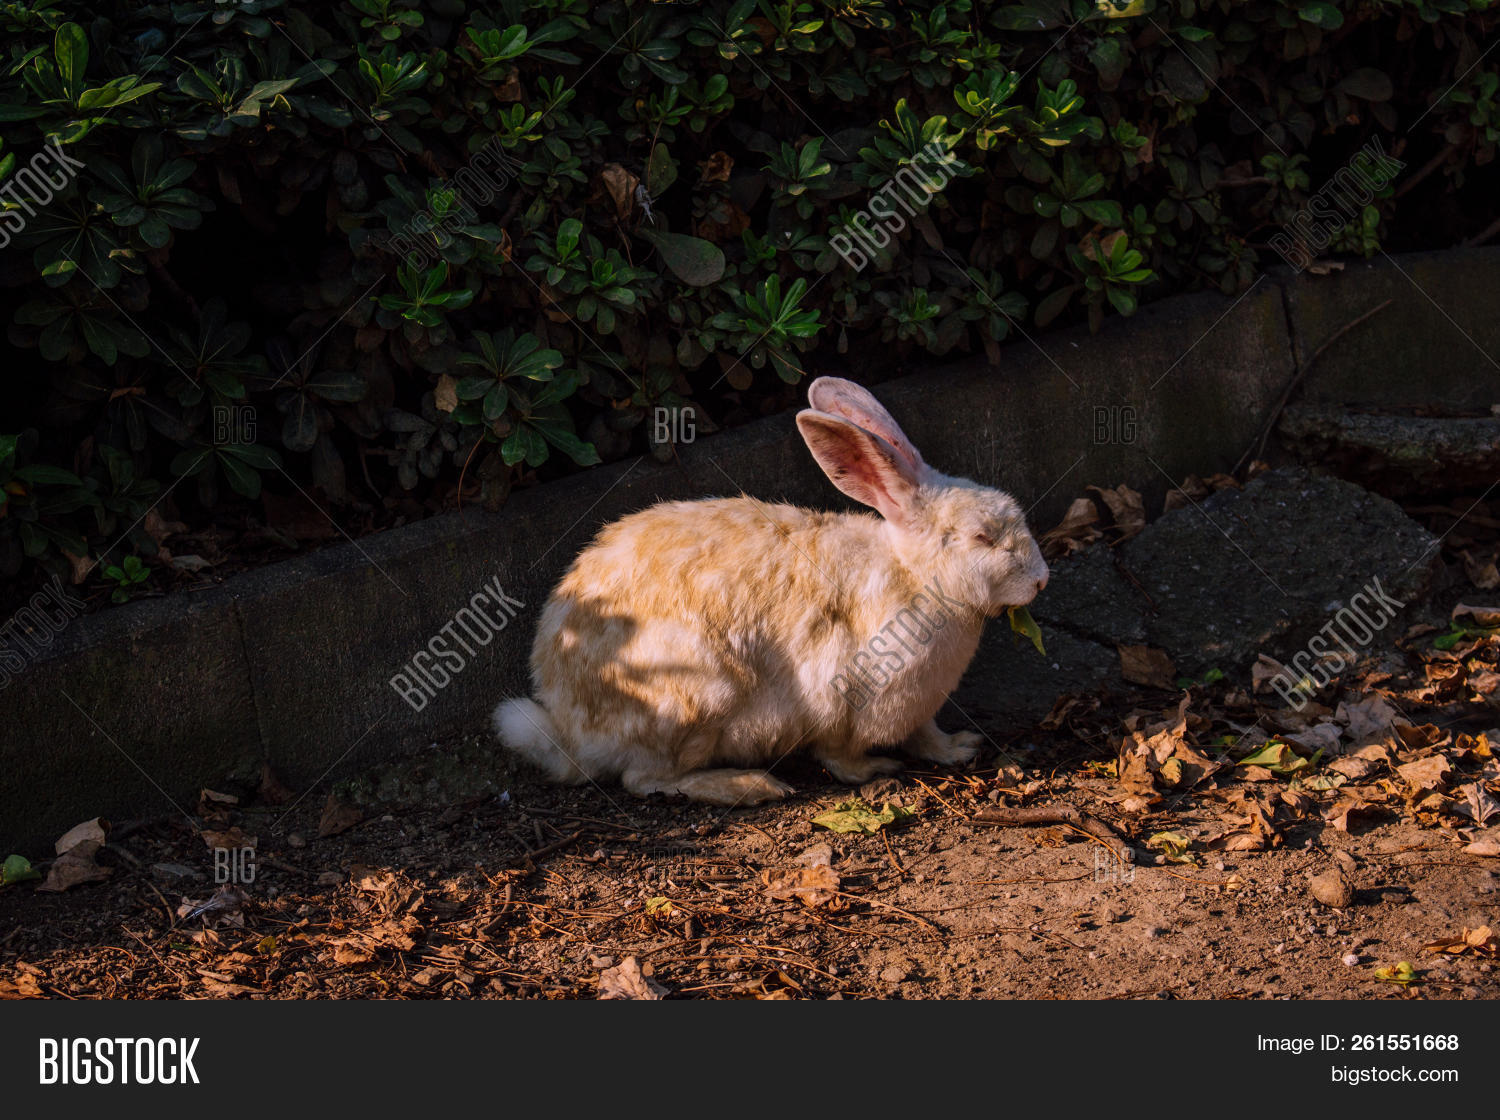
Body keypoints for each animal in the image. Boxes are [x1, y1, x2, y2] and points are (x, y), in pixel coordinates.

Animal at [494, 376, 1049, 807]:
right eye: (982, 538)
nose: (1041, 579)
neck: (914, 572)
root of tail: (568, 730)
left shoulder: (920, 706)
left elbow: (927, 734)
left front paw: (959, 748)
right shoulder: (843, 694)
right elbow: (839, 754)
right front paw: (873, 771)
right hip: (695, 695)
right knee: (645, 778)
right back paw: (752, 786)